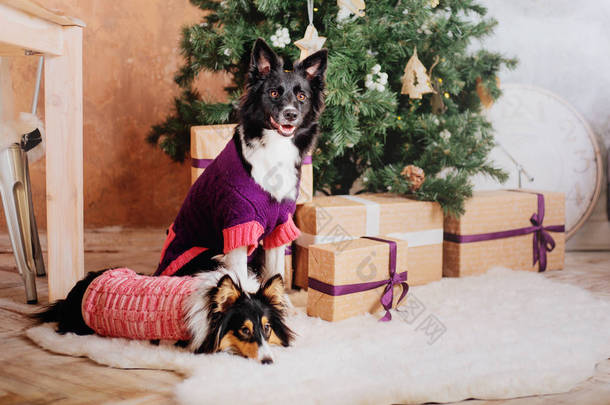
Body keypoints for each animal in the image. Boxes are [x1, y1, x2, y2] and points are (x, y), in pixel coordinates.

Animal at [33, 39, 328, 362]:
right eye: (274, 93)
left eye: (301, 96)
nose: (290, 114)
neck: (273, 147)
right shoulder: (238, 225)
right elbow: (238, 277)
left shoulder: (279, 227)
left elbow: (275, 273)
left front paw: (280, 311)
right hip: (205, 254)